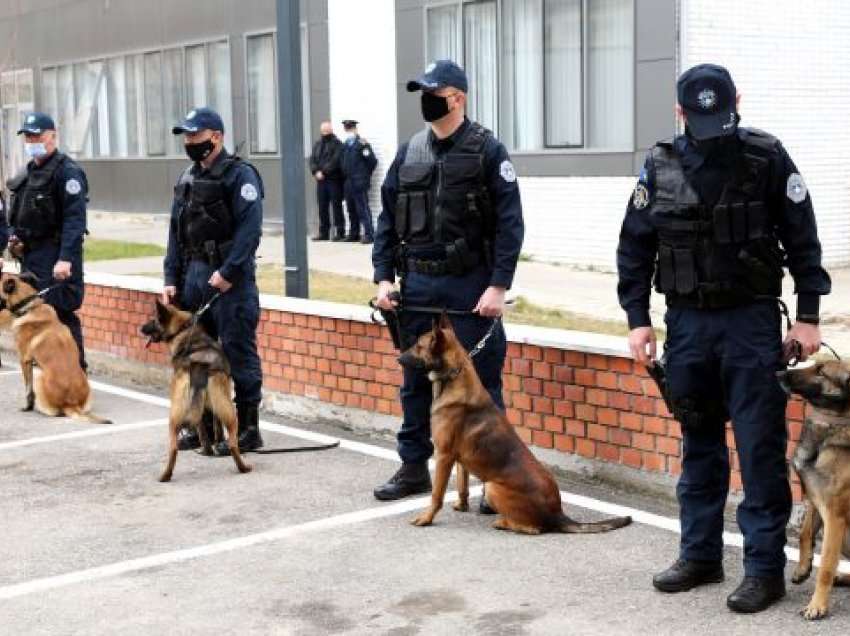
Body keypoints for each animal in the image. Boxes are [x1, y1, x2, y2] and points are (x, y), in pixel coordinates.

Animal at [0, 272, 110, 424]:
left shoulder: (24, 361)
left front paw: (27, 407)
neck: (30, 307)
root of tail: (71, 404)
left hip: (40, 377)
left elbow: (28, 389)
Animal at [139, 300, 250, 482]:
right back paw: (240, 466)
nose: (140, 328)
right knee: (233, 443)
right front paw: (215, 445)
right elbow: (215, 427)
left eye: (153, 319)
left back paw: (167, 474)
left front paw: (208, 448)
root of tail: (199, 365)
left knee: (174, 447)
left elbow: (203, 428)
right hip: (229, 411)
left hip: (174, 416)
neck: (183, 330)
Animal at [400, 316, 632, 536]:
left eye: (418, 346)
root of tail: (557, 514)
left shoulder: (444, 455)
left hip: (492, 487)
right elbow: (462, 484)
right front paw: (462, 505)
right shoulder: (457, 459)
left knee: (533, 528)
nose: (398, 357)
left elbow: (436, 494)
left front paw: (427, 518)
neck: (454, 374)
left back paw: (504, 522)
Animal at [776, 362, 848, 620]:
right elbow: (805, 533)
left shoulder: (835, 517)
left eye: (821, 372)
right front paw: (802, 568)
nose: (779, 373)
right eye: (815, 365)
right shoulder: (815, 501)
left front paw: (817, 605)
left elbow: (825, 564)